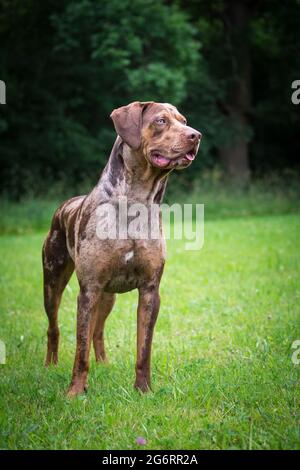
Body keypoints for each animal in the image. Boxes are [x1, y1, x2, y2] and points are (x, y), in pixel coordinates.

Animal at [42, 101, 202, 394]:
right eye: (161, 121)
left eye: (183, 120)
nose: (196, 135)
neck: (137, 201)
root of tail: (64, 205)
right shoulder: (89, 290)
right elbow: (80, 350)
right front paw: (75, 392)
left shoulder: (150, 290)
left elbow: (144, 349)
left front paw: (143, 390)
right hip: (53, 279)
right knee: (54, 326)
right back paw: (51, 364)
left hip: (108, 296)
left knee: (97, 331)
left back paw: (104, 363)